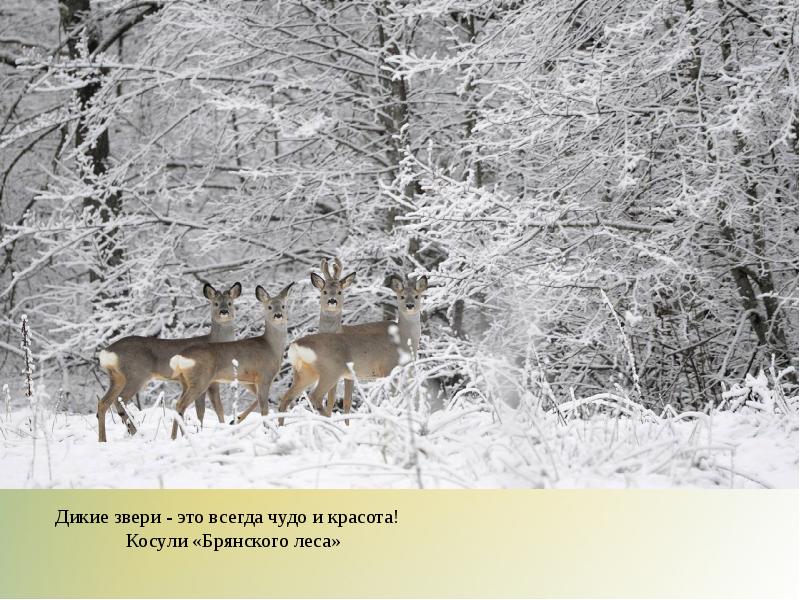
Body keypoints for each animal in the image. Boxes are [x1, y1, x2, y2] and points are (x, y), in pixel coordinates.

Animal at [96, 282, 241, 440]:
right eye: (215, 303)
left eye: (230, 303)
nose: (224, 311)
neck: (214, 341)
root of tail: (107, 352)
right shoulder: (208, 381)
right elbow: (209, 410)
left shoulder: (194, 382)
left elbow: (208, 409)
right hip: (136, 374)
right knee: (119, 400)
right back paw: (135, 432)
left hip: (116, 377)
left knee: (103, 403)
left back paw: (104, 439)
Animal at [169, 284, 294, 438]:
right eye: (269, 307)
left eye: (283, 306)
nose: (278, 315)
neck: (271, 347)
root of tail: (180, 357)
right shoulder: (264, 376)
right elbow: (264, 408)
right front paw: (267, 431)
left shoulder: (249, 379)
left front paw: (236, 420)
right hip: (200, 379)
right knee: (180, 404)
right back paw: (178, 437)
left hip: (187, 381)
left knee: (179, 404)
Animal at [276, 274, 428, 424]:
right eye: (401, 297)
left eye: (417, 296)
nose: (410, 305)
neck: (403, 338)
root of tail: (295, 345)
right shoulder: (388, 368)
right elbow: (390, 397)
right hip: (330, 370)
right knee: (315, 397)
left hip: (304, 372)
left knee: (286, 398)